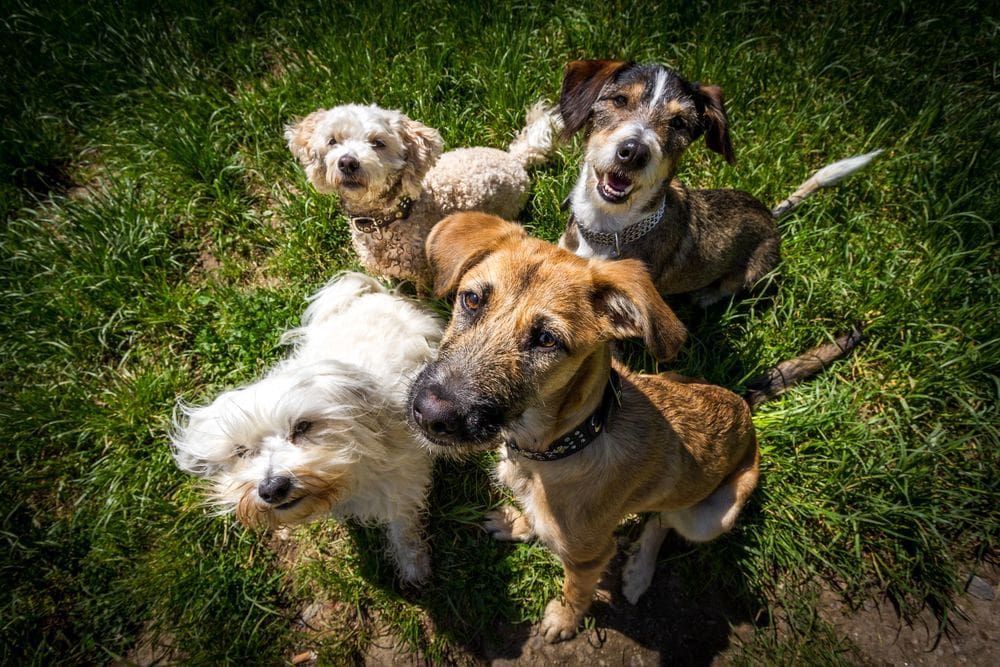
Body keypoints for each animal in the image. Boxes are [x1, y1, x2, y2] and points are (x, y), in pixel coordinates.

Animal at [170, 272, 444, 584]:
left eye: (303, 427)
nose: (272, 488)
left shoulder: (401, 486)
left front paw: (413, 563)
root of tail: (374, 294)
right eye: (241, 451)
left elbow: (403, 529)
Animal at [406, 213, 756, 640]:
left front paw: (563, 621)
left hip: (712, 518)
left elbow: (576, 590)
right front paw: (518, 522)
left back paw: (638, 572)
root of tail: (745, 408)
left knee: (662, 520)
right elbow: (536, 518)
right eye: (472, 299)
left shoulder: (589, 559)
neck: (560, 446)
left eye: (546, 340)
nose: (431, 413)